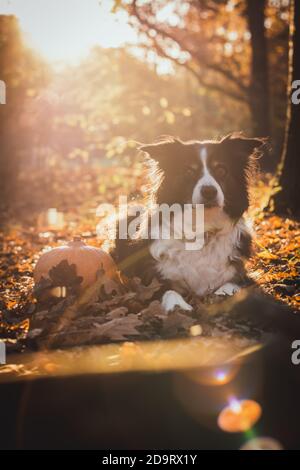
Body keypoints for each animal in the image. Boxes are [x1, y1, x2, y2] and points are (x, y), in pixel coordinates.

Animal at [113, 134, 264, 312]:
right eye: (188, 171)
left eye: (221, 170)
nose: (209, 191)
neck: (201, 228)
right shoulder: (149, 279)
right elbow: (167, 291)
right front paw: (178, 306)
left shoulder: (239, 274)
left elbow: (229, 287)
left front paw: (221, 297)